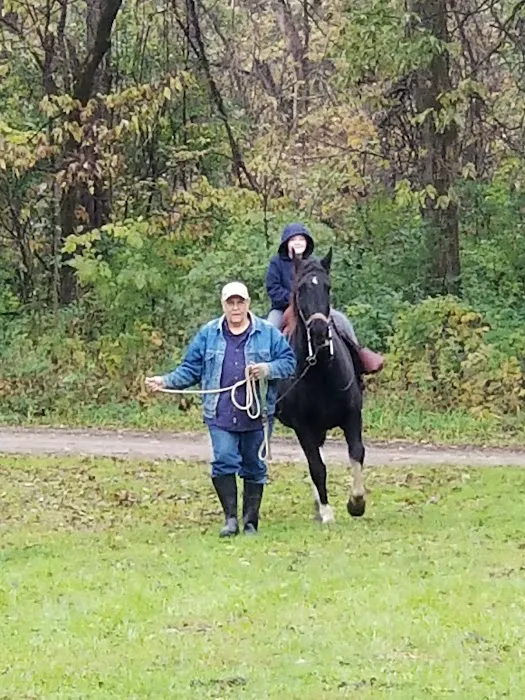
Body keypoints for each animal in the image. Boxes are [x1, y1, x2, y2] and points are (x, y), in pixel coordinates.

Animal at [275, 249, 366, 524]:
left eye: (327, 287)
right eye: (301, 288)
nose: (318, 331)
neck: (321, 371)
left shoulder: (352, 416)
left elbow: (356, 453)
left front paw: (356, 502)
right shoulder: (303, 426)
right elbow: (316, 466)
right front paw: (326, 511)